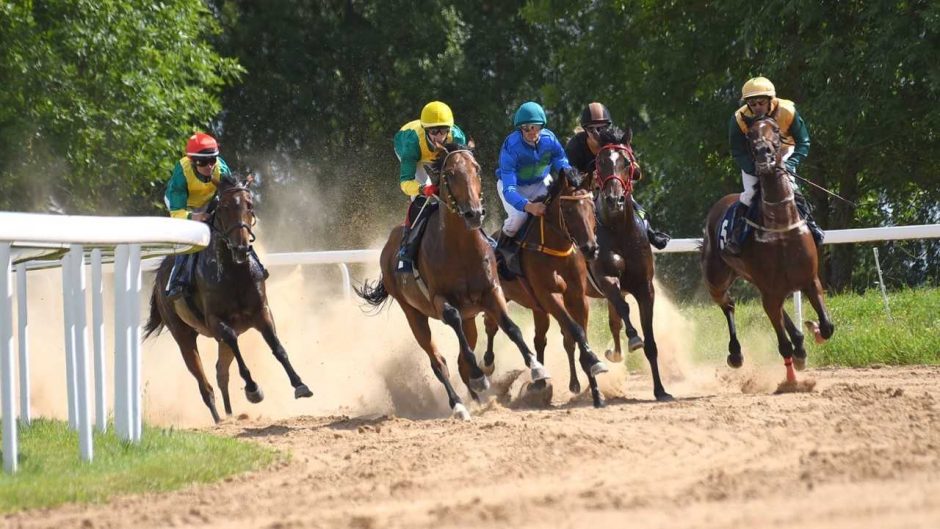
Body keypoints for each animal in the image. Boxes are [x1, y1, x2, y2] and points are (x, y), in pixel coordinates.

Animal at [143, 175, 312, 422]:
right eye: (223, 207)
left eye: (249, 205)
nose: (241, 247)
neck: (234, 273)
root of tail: (159, 278)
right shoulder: (217, 322)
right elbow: (233, 341)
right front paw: (253, 389)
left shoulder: (262, 311)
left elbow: (277, 347)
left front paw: (299, 384)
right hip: (182, 334)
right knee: (204, 383)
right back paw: (218, 418)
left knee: (220, 373)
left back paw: (231, 414)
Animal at [354, 142, 548, 418]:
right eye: (450, 174)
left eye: (476, 169)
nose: (474, 214)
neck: (461, 248)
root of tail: (387, 248)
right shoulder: (440, 300)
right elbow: (454, 321)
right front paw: (479, 377)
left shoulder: (492, 291)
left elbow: (511, 327)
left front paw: (536, 366)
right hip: (413, 313)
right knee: (438, 362)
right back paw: (458, 404)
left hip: (469, 318)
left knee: (459, 359)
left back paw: (476, 399)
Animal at [482, 170, 604, 408]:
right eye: (568, 210)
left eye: (591, 208)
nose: (591, 248)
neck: (557, 248)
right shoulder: (549, 295)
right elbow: (575, 330)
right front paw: (594, 361)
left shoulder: (577, 297)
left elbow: (578, 333)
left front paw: (595, 390)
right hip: (501, 295)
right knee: (491, 326)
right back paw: (489, 363)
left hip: (537, 307)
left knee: (540, 339)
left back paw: (540, 382)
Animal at [584, 132, 672, 400]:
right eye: (601, 163)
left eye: (626, 162)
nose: (615, 200)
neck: (618, 231)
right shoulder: (607, 279)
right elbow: (624, 309)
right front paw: (634, 338)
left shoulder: (645, 288)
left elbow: (651, 341)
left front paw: (660, 390)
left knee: (613, 323)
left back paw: (614, 353)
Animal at [700, 114, 832, 384]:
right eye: (750, 134)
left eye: (775, 130)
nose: (763, 152)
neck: (780, 226)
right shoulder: (770, 292)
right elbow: (783, 345)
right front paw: (791, 381)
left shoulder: (810, 280)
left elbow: (826, 326)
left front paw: (812, 332)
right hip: (716, 279)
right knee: (728, 305)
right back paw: (736, 354)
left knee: (780, 313)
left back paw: (800, 343)